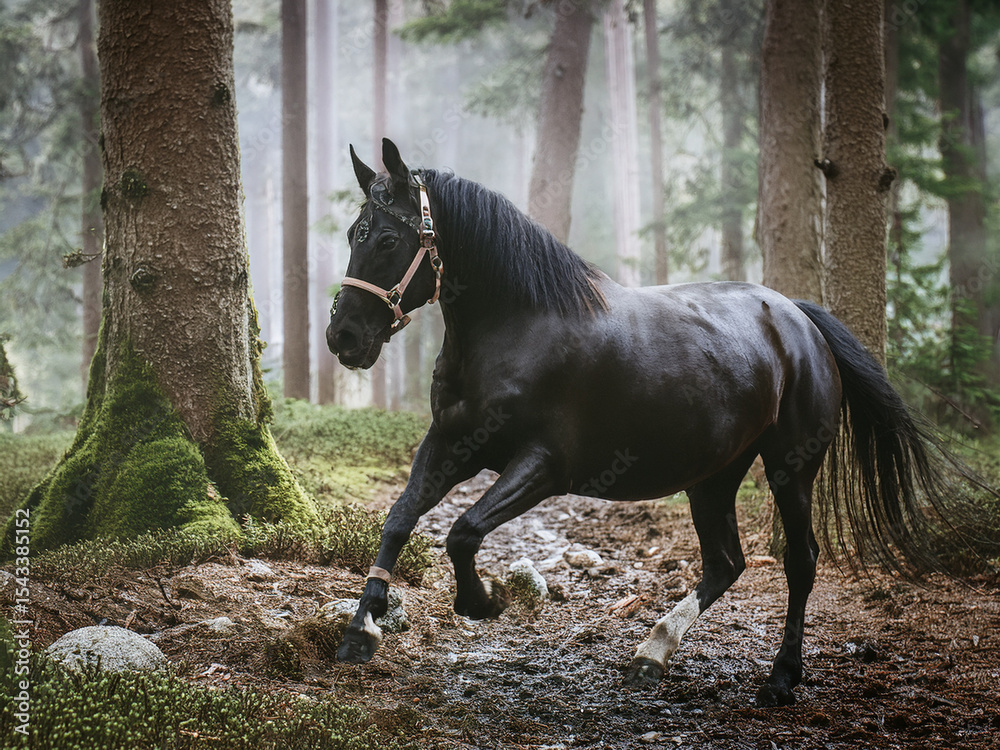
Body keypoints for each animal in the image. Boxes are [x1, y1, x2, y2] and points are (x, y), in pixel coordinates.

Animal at [326, 138, 966, 707]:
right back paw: (652, 652)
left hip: (791, 469)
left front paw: (483, 602)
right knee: (726, 562)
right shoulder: (452, 444)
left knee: (799, 561)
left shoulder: (542, 467)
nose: (344, 337)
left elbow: (463, 531)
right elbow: (399, 519)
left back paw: (781, 679)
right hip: (714, 475)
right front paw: (363, 629)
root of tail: (799, 319)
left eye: (388, 238)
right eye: (354, 234)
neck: (520, 327)